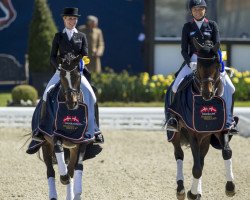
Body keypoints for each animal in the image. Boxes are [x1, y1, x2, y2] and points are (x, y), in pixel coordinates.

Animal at [165, 38, 235, 199]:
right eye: (199, 66)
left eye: (217, 65)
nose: (207, 93)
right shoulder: (193, 133)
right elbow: (196, 168)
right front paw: (191, 193)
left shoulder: (222, 128)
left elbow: (226, 152)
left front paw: (230, 186)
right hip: (176, 133)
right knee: (179, 154)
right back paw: (181, 189)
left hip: (206, 138)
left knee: (201, 160)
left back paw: (197, 191)